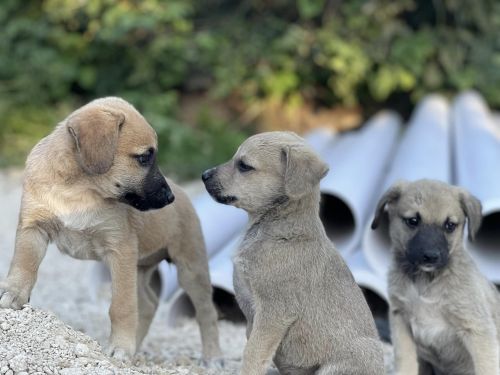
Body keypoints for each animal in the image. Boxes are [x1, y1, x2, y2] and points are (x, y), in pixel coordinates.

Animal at [0, 98, 221, 362]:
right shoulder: (33, 228)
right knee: (148, 304)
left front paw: (121, 347)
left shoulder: (120, 249)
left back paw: (213, 357)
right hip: (140, 269)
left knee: (206, 312)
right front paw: (13, 294)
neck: (78, 189)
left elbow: (122, 307)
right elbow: (24, 264)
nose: (170, 198)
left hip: (190, 269)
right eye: (144, 158)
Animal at [201, 131, 384, 375]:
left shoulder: (273, 313)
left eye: (244, 166)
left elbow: (252, 354)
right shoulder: (252, 317)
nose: (203, 175)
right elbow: (253, 350)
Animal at [372, 179, 500, 375]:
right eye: (413, 221)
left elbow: (487, 366)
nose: (431, 256)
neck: (425, 280)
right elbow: (405, 360)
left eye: (450, 225)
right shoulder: (400, 318)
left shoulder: (477, 328)